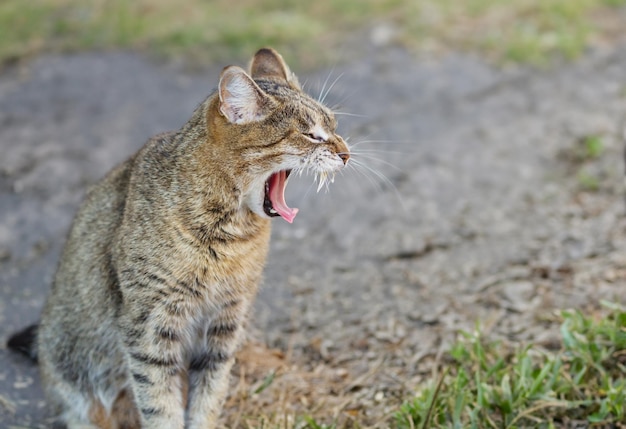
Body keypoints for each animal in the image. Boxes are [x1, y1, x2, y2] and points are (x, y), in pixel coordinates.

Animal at [9, 47, 348, 428]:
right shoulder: (151, 328)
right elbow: (160, 405)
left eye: (333, 126)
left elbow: (209, 397)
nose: (347, 154)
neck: (232, 237)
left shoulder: (226, 323)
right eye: (311, 135)